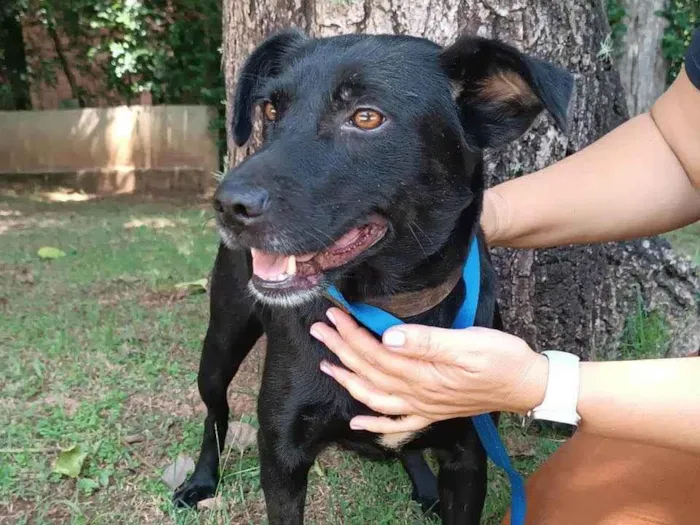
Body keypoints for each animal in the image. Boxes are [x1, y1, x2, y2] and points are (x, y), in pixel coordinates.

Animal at [174, 29, 568, 524]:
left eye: (366, 117)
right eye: (271, 110)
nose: (227, 205)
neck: (387, 308)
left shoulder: (469, 456)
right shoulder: (282, 457)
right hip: (221, 341)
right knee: (215, 412)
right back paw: (202, 480)